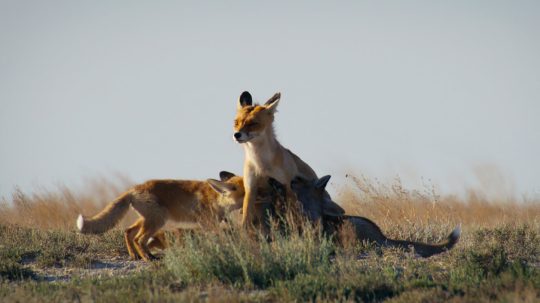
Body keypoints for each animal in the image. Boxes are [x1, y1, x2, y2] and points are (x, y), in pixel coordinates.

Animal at [76, 172, 245, 262]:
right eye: (246, 193)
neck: (217, 199)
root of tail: (133, 189)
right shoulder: (208, 224)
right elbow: (218, 238)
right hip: (157, 220)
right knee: (139, 239)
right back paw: (148, 258)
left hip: (148, 220)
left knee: (128, 232)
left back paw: (135, 255)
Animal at [233, 91, 344, 227]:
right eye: (236, 122)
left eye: (253, 123)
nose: (236, 135)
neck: (262, 165)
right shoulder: (251, 189)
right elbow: (245, 221)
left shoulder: (288, 187)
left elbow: (293, 219)